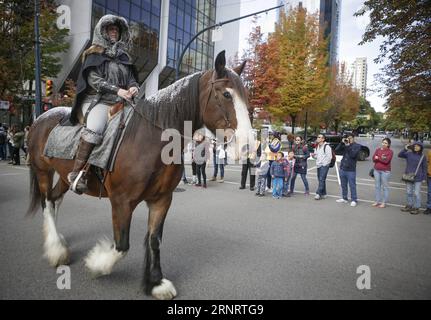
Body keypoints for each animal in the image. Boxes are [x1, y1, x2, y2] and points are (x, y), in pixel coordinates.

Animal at [26, 50, 253, 300]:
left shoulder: (161, 200)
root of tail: (41, 117)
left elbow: (154, 240)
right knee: (47, 202)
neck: (150, 139)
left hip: (65, 176)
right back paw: (55, 249)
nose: (248, 145)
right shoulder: (122, 202)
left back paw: (57, 243)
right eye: (226, 94)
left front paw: (155, 283)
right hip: (43, 171)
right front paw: (97, 263)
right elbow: (122, 245)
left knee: (54, 199)